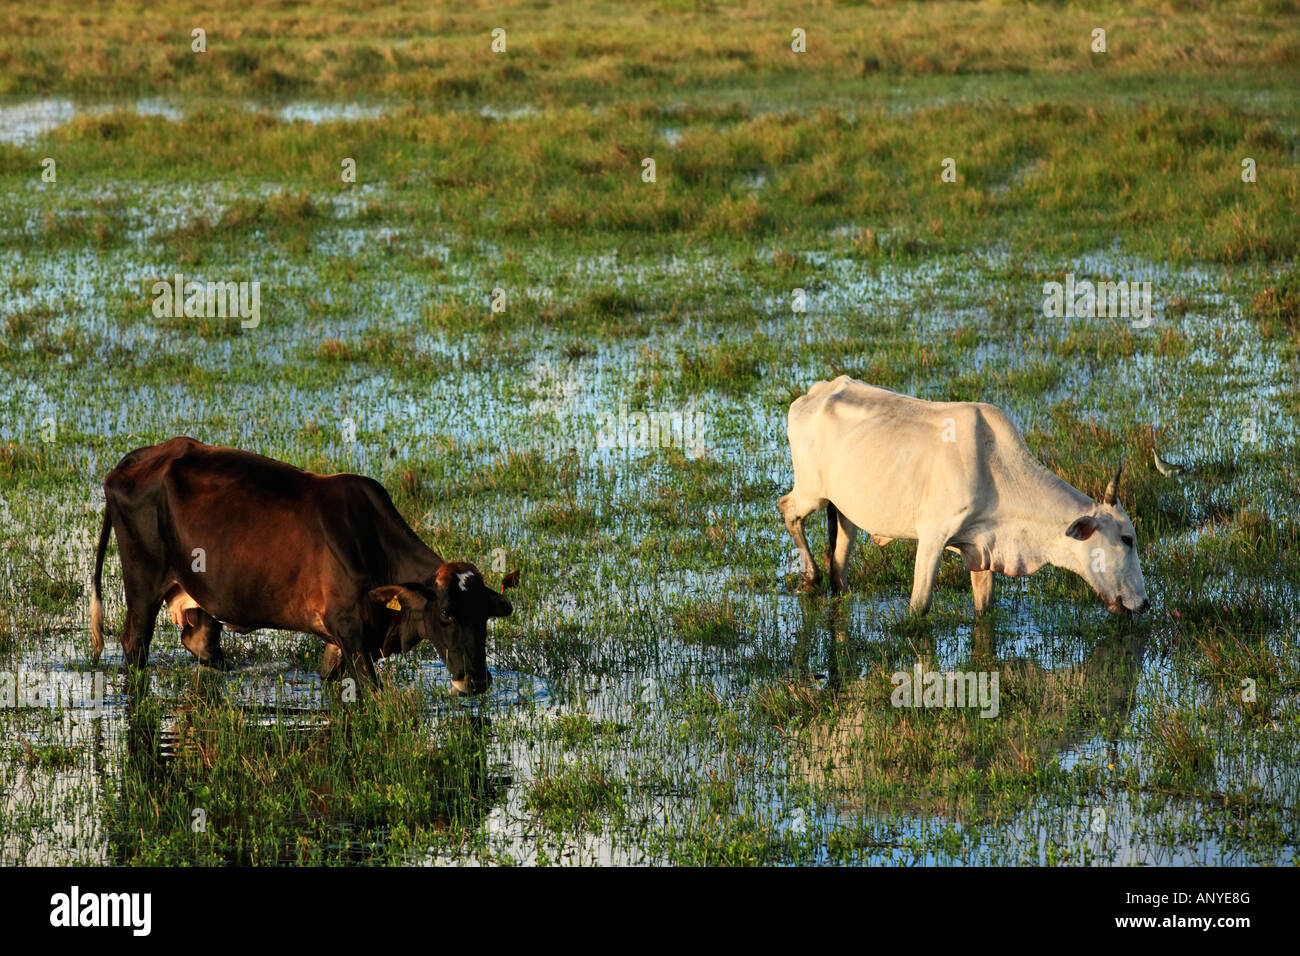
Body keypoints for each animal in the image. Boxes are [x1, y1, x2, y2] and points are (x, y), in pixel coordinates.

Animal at [89, 437, 518, 693]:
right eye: (446, 613)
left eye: (486, 615)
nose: (477, 680)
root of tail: (137, 459)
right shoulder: (350, 630)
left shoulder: (339, 641)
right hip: (142, 583)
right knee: (134, 644)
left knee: (201, 644)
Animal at [778, 377, 1150, 616]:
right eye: (1127, 539)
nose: (1145, 603)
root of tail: (815, 392)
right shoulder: (933, 536)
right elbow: (919, 608)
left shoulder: (981, 550)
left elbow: (984, 609)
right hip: (812, 492)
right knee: (787, 508)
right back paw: (810, 576)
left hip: (845, 511)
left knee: (839, 564)